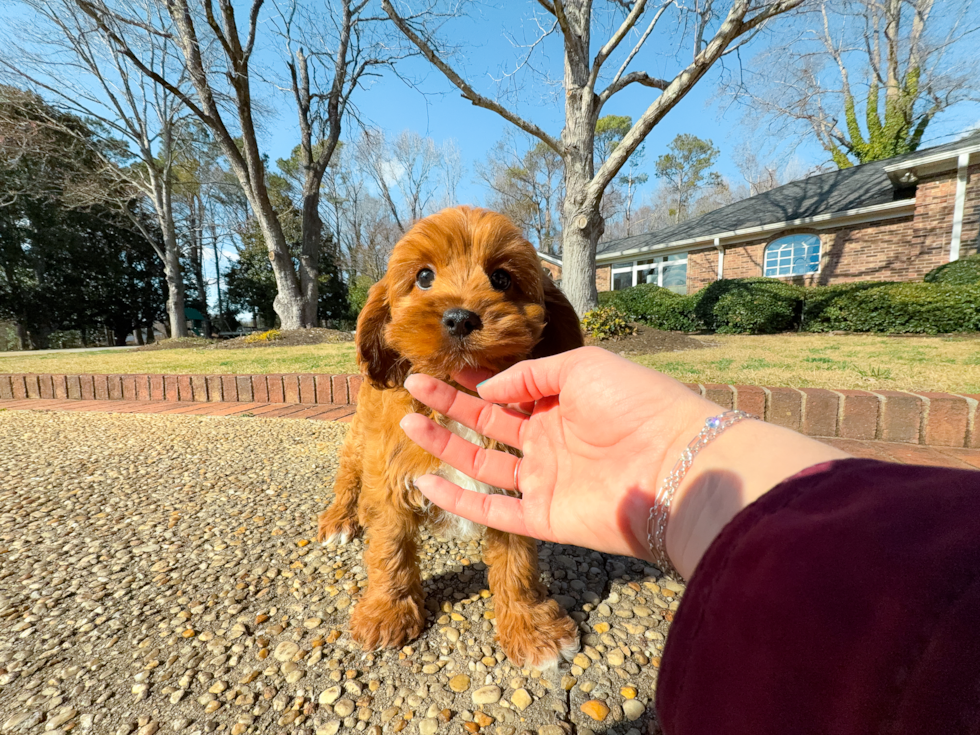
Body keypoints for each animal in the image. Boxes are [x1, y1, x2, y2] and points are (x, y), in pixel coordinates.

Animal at [320, 204, 580, 668]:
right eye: (424, 276)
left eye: (502, 278)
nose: (460, 317)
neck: (458, 388)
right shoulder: (390, 476)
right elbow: (390, 549)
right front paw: (386, 613)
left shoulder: (507, 487)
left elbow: (518, 563)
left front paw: (532, 627)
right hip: (358, 441)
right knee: (349, 479)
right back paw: (341, 519)